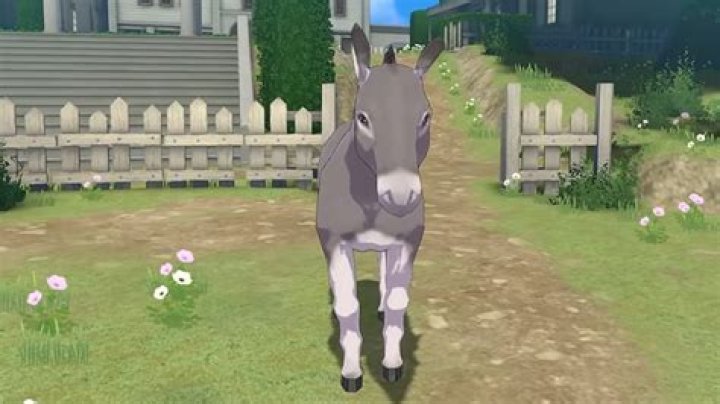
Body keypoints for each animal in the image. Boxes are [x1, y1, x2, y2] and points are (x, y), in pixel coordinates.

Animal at [315, 24, 443, 392]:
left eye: (425, 117)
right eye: (363, 118)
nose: (400, 196)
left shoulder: (406, 243)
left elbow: (399, 303)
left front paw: (392, 365)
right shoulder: (335, 243)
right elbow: (347, 307)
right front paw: (351, 374)